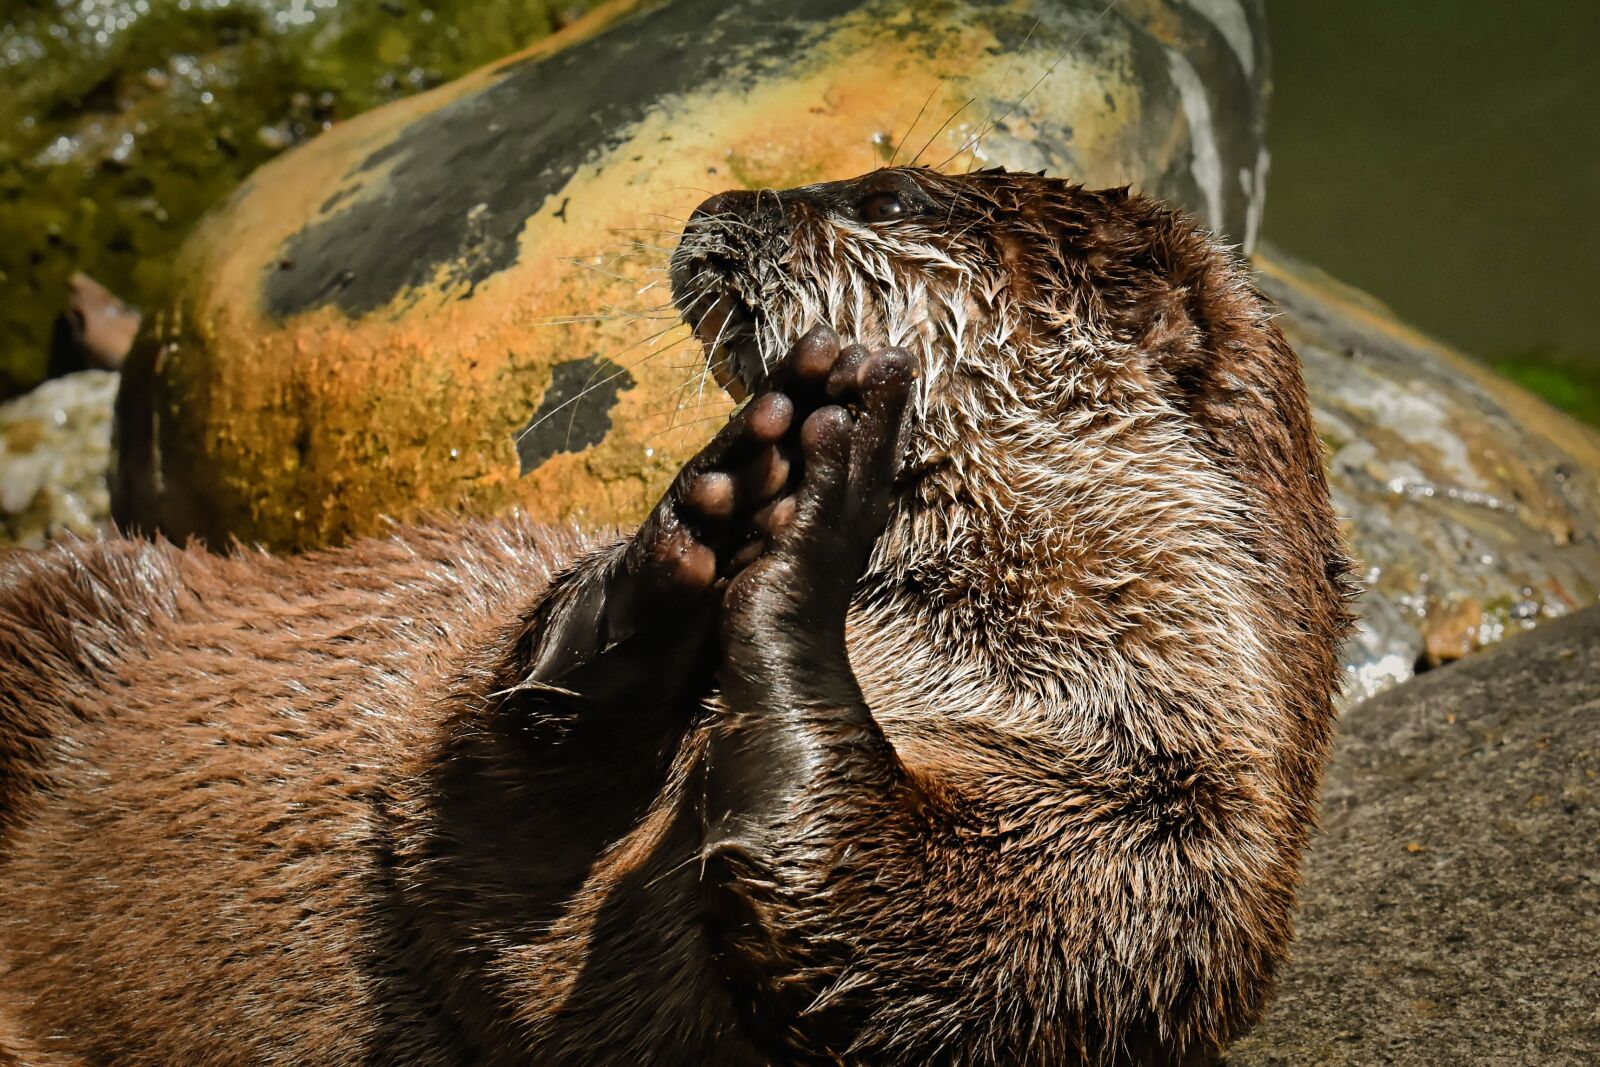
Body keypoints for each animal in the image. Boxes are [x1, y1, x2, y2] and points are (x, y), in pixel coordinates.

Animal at [0, 167, 1352, 1065]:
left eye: (891, 195)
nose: (725, 203)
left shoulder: (1149, 872)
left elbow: (877, 946)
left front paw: (804, 518)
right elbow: (471, 759)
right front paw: (701, 517)